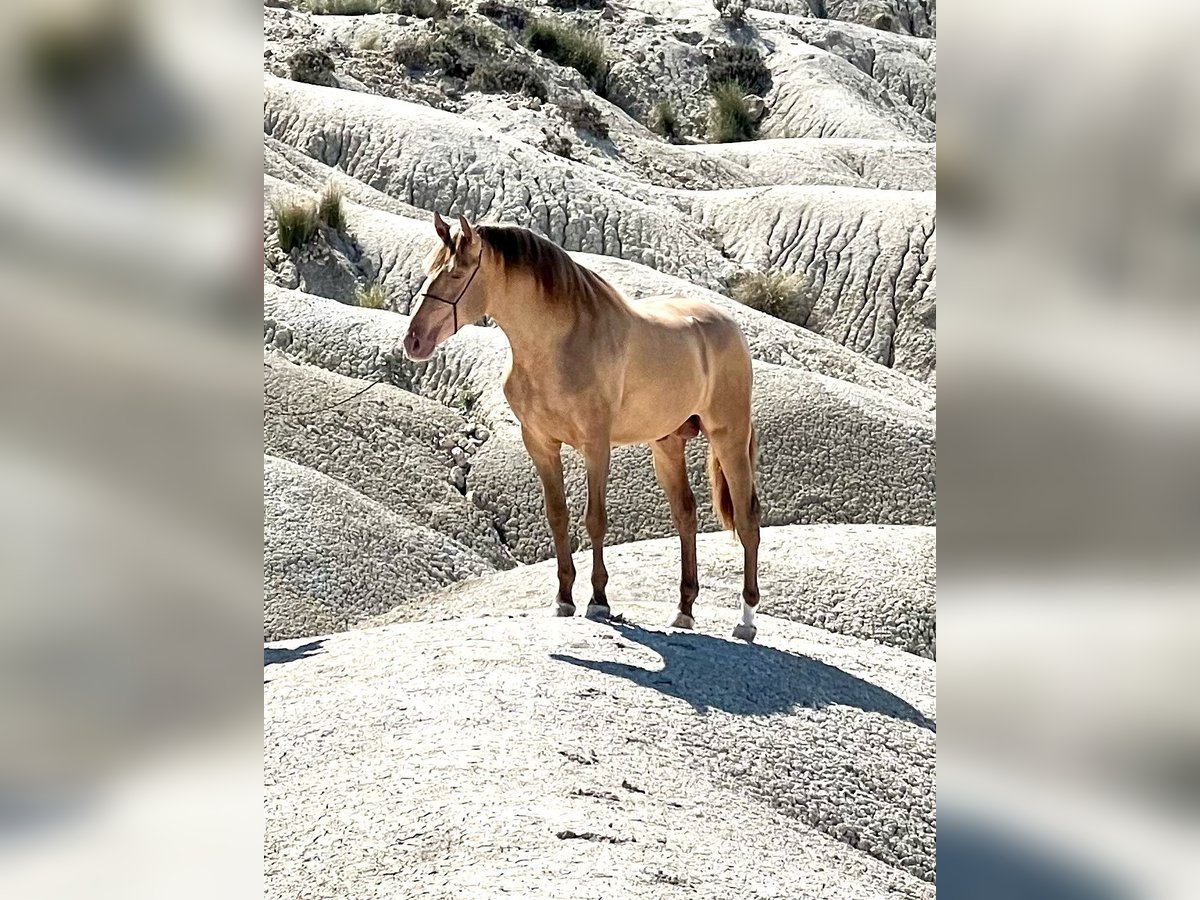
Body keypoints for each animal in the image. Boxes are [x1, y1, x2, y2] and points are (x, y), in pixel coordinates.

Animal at [400, 216, 758, 643]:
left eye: (455, 274)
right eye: (429, 270)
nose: (413, 341)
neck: (559, 344)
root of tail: (729, 326)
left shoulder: (596, 446)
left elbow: (594, 519)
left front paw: (599, 600)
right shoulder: (540, 444)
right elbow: (558, 516)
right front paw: (563, 598)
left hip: (728, 437)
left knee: (747, 520)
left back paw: (746, 620)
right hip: (667, 444)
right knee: (685, 515)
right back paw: (684, 611)